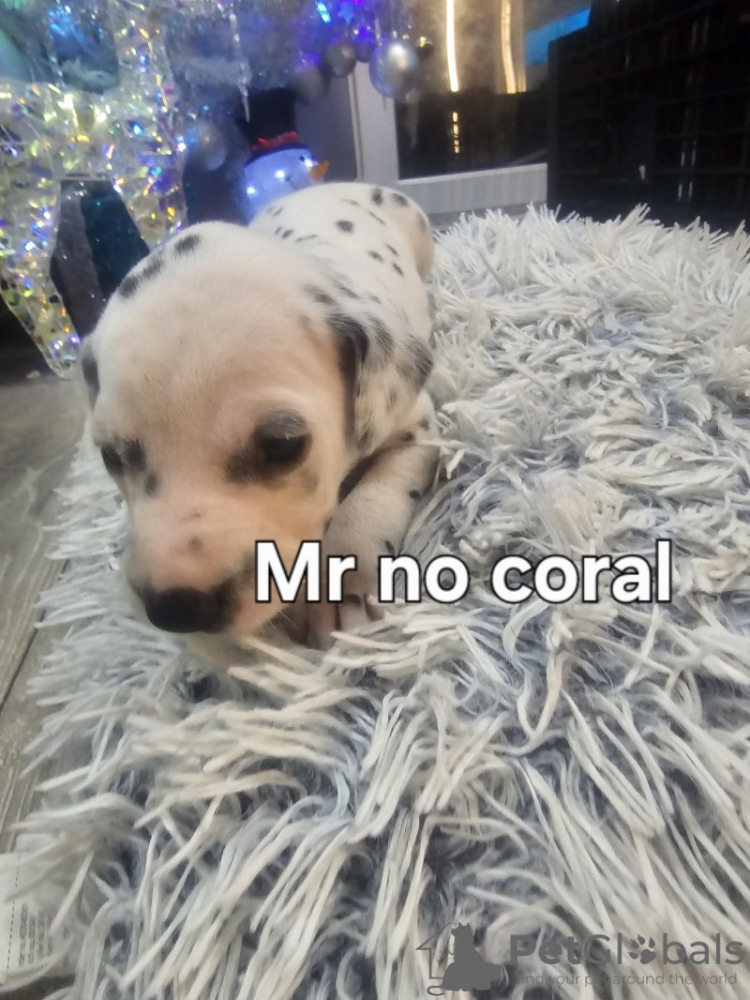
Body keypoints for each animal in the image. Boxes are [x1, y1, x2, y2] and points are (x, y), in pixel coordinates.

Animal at [80, 182, 439, 648]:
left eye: (281, 446)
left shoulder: (417, 425)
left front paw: (342, 586)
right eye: (111, 457)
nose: (175, 609)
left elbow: (369, 501)